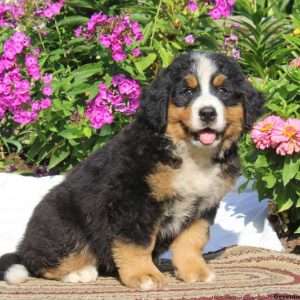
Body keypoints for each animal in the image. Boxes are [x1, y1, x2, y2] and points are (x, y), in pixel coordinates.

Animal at [0, 50, 262, 290]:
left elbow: (192, 241)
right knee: (40, 260)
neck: (191, 153)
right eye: (187, 92)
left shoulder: (203, 204)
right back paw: (78, 272)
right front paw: (143, 274)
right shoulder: (133, 200)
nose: (207, 113)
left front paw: (194, 271)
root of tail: (25, 243)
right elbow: (137, 243)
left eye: (223, 91)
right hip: (63, 226)